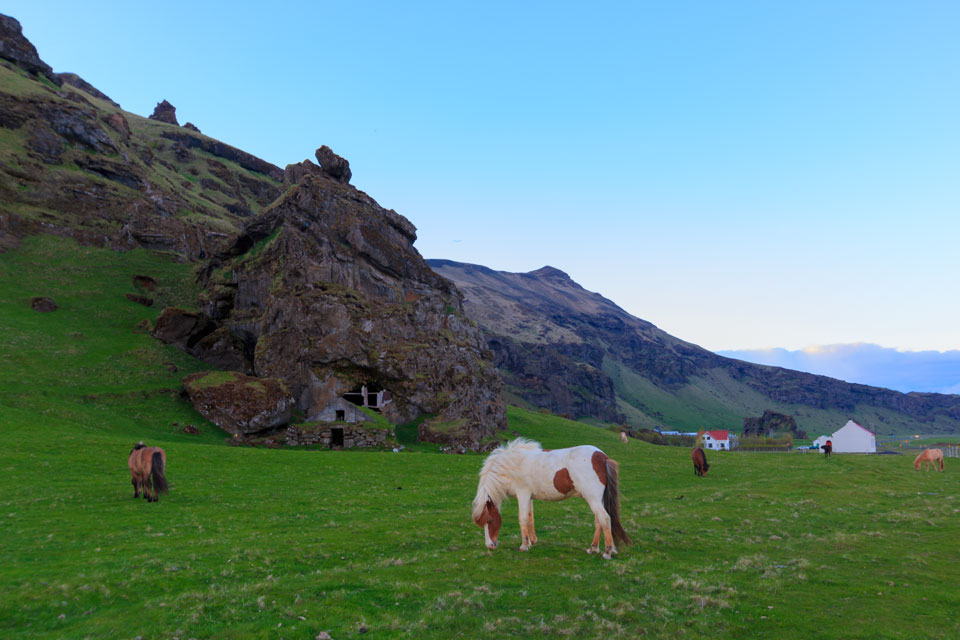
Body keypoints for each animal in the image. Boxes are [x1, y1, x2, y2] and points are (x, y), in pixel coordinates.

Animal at [470, 438, 632, 556]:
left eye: (490, 520)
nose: (489, 545)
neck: (512, 465)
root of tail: (602, 457)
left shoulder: (523, 494)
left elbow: (522, 519)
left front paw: (524, 546)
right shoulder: (529, 496)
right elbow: (530, 518)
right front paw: (531, 541)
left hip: (592, 498)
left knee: (604, 518)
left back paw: (608, 551)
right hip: (597, 499)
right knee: (599, 521)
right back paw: (592, 548)